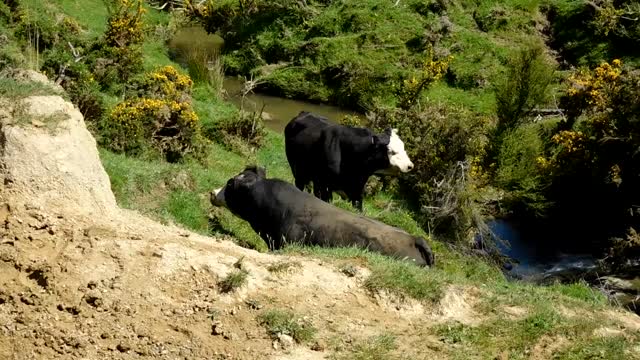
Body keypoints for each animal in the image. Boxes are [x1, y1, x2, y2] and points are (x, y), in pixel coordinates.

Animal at [284, 110, 416, 211]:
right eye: (391, 151)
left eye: (403, 147)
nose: (410, 166)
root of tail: (304, 113)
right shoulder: (325, 187)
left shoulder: (357, 190)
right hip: (298, 171)